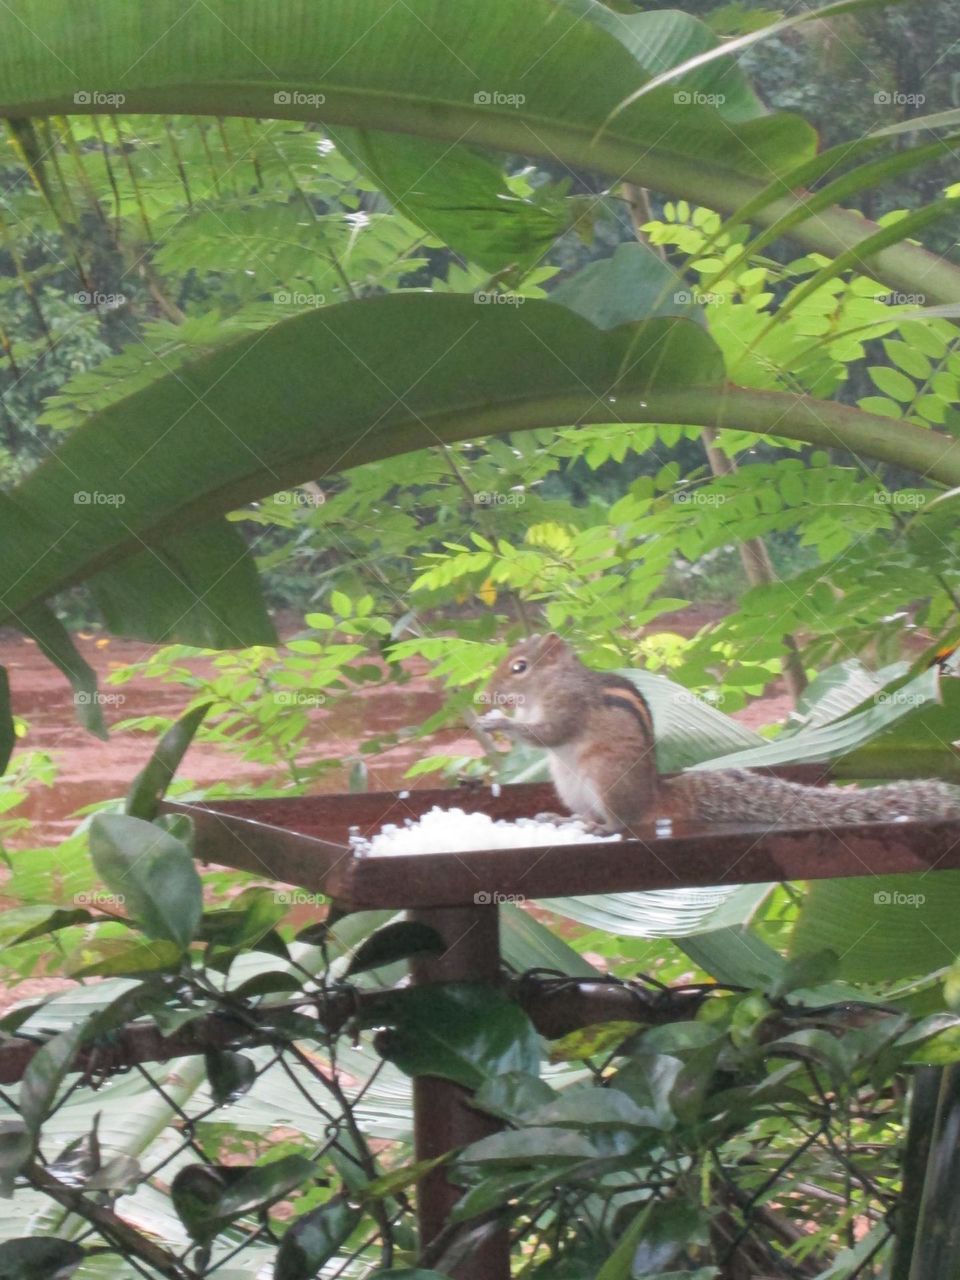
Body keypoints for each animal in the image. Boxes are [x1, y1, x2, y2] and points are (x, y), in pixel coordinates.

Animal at [477, 632, 960, 836]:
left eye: (519, 667)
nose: (487, 694)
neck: (549, 684)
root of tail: (653, 797)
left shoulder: (569, 706)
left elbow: (549, 733)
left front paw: (500, 724)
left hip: (607, 777)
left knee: (623, 822)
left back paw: (603, 827)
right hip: (571, 787)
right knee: (589, 813)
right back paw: (566, 820)